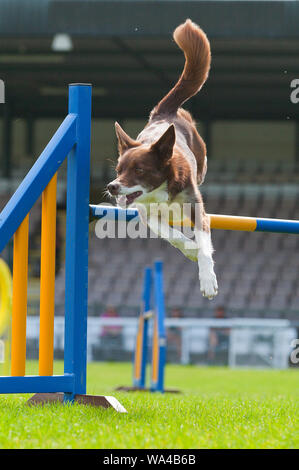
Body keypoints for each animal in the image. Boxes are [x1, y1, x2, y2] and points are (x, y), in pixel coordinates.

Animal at [108, 20, 218, 300]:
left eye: (139, 169)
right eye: (118, 169)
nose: (112, 186)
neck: (160, 190)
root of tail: (164, 113)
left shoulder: (196, 207)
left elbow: (204, 243)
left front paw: (208, 281)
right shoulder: (147, 214)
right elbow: (173, 236)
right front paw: (190, 249)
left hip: (201, 160)